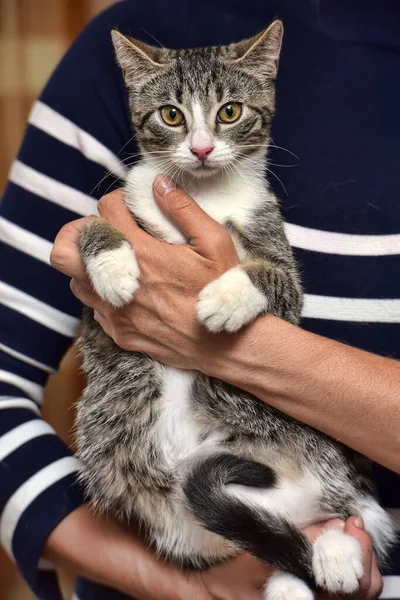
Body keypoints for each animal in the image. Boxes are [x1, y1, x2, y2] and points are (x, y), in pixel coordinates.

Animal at [74, 21, 394, 596]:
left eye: (229, 111)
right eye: (171, 115)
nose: (202, 149)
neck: (204, 197)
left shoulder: (277, 257)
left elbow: (274, 278)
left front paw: (225, 297)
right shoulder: (106, 274)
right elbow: (89, 226)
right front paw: (112, 266)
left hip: (309, 436)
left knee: (347, 508)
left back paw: (336, 549)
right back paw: (312, 564)